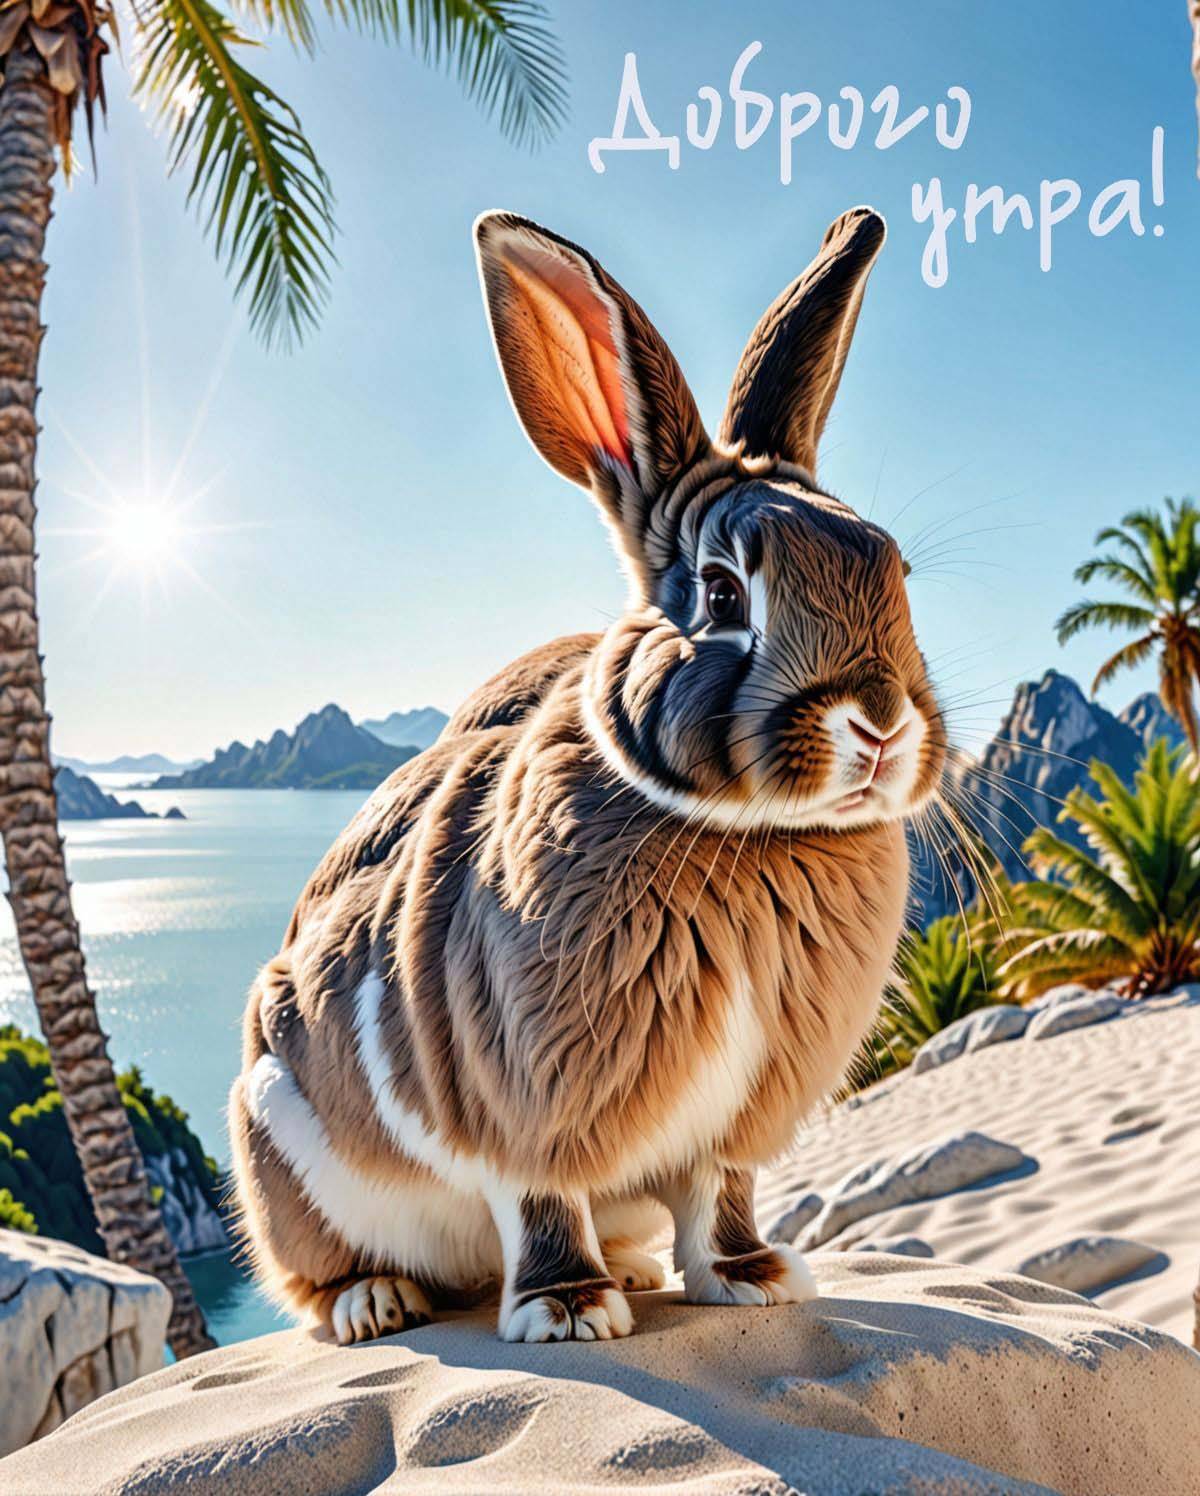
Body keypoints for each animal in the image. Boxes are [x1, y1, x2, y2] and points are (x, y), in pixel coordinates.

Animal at [229, 204, 946, 1346]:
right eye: (721, 591)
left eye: (895, 570)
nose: (879, 726)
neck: (745, 832)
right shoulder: (518, 1103)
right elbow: (540, 1200)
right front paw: (568, 1313)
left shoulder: (728, 1129)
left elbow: (719, 1195)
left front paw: (754, 1279)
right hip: (275, 1141)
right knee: (321, 1269)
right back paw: (375, 1302)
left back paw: (639, 1267)